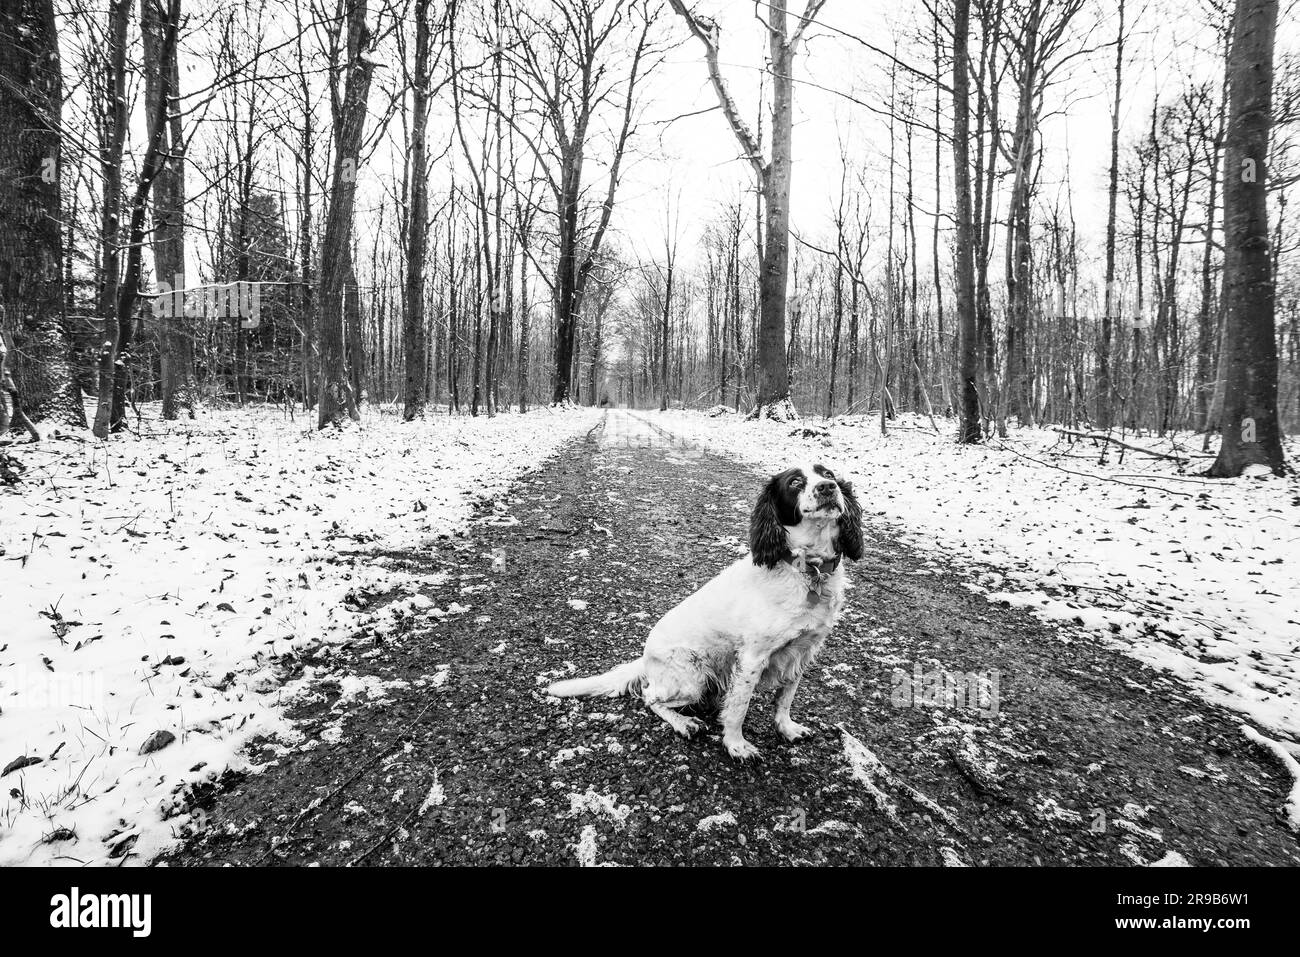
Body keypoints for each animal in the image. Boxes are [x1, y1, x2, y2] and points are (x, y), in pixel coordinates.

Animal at [548, 465, 863, 764]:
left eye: (828, 473)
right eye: (795, 482)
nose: (828, 487)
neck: (808, 570)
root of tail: (645, 657)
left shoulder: (803, 651)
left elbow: (785, 698)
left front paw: (786, 728)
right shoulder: (753, 657)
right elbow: (738, 708)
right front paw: (737, 746)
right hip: (693, 677)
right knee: (650, 698)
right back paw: (684, 723)